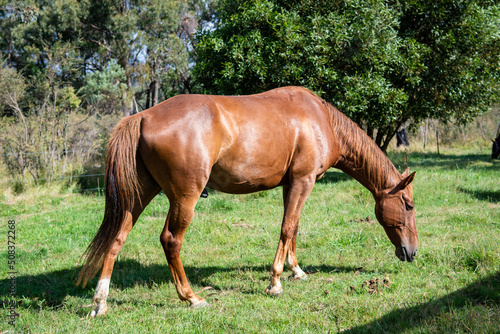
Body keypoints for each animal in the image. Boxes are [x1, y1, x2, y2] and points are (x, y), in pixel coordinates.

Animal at [76, 85, 416, 316]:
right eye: (409, 205)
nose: (411, 252)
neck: (322, 120)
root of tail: (143, 115)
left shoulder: (292, 185)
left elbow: (292, 228)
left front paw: (296, 270)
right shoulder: (302, 181)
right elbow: (287, 228)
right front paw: (275, 283)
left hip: (139, 196)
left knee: (117, 238)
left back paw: (100, 302)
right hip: (184, 198)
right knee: (171, 240)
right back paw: (191, 297)